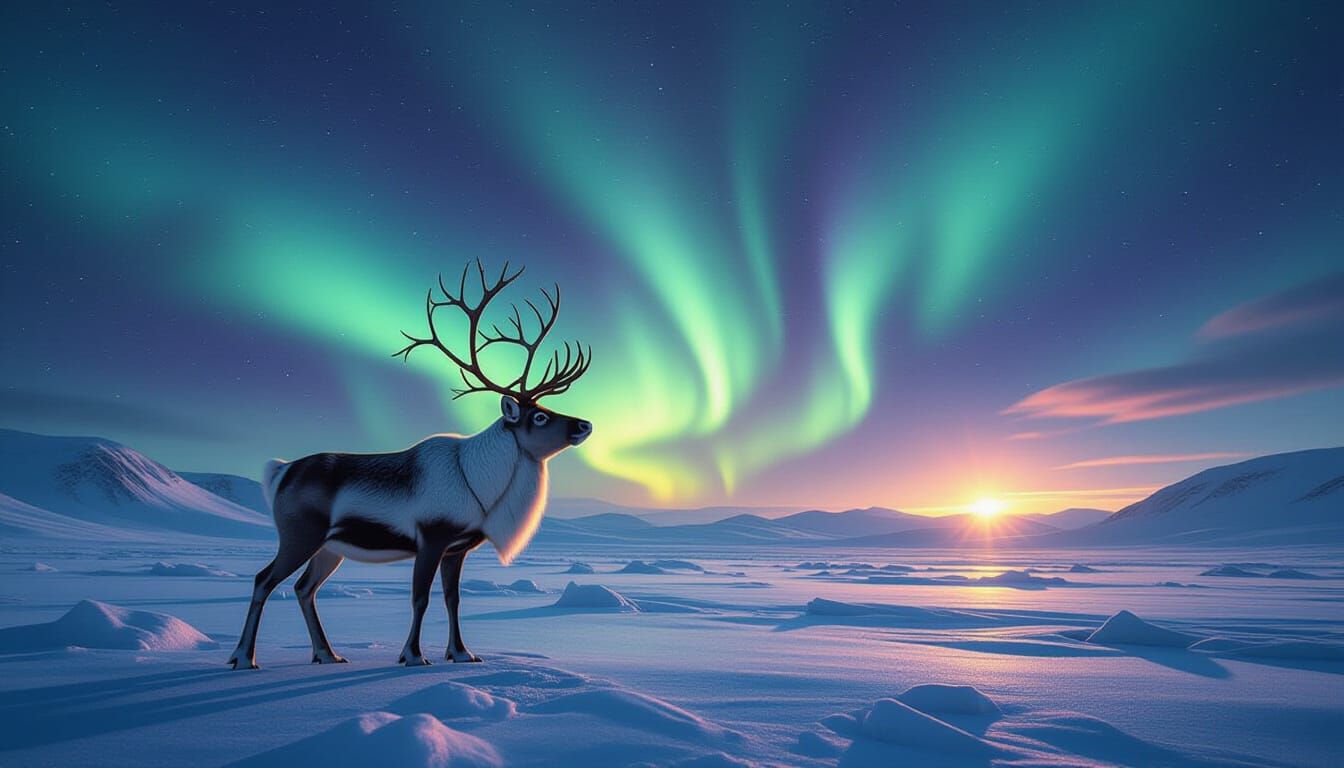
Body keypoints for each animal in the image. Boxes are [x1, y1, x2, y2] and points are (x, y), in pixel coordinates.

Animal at [228, 261, 593, 670]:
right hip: (299, 535)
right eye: (540, 417)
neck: (480, 485)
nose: (584, 424)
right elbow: (421, 598)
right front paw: (413, 655)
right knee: (264, 579)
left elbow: (453, 599)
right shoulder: (431, 537)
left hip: (330, 547)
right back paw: (243, 657)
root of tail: (280, 471)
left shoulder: (457, 548)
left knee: (304, 588)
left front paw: (462, 653)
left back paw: (327, 654)